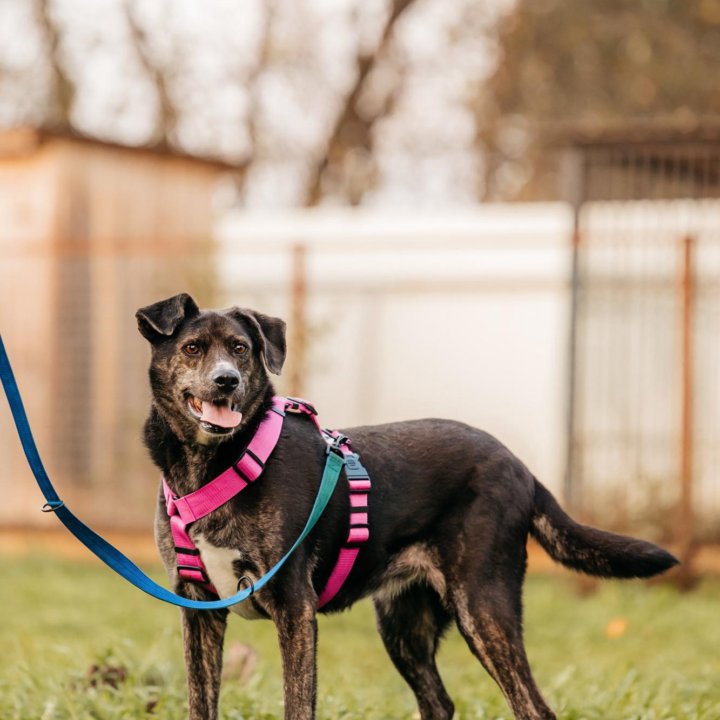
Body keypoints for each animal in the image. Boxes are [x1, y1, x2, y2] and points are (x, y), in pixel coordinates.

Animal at [138, 292, 676, 720]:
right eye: (192, 348)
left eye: (240, 349)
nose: (226, 381)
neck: (216, 463)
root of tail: (521, 467)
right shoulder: (198, 607)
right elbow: (200, 703)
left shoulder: (294, 607)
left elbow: (297, 704)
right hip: (404, 623)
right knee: (438, 701)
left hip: (483, 605)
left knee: (533, 707)